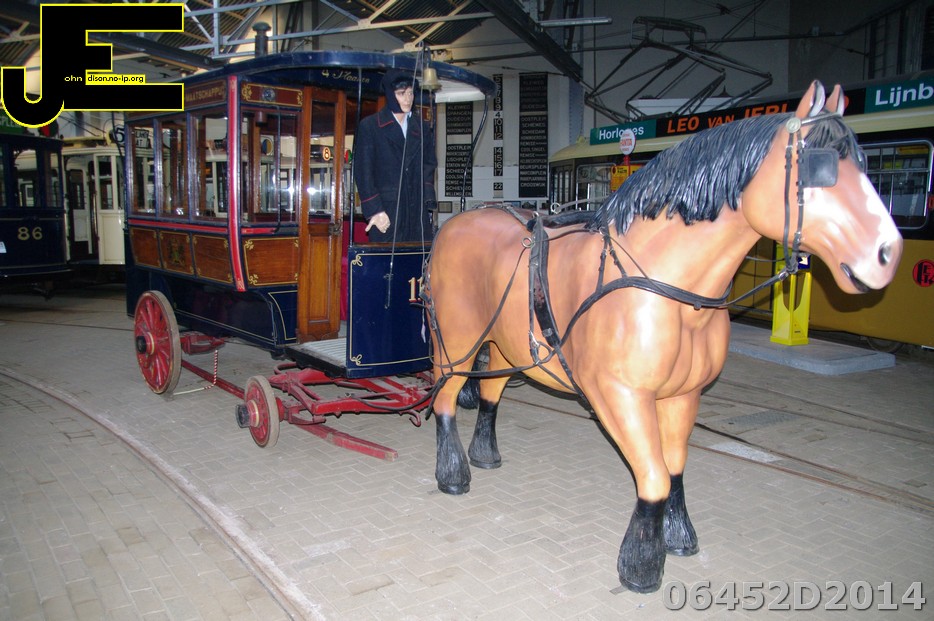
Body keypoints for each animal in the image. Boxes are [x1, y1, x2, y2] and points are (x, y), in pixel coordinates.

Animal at [421, 81, 903, 593]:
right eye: (820, 164)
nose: (887, 253)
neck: (666, 288)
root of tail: (454, 224)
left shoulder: (683, 394)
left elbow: (674, 468)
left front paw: (678, 536)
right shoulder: (620, 395)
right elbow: (652, 476)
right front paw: (641, 564)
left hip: (504, 342)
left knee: (490, 393)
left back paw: (485, 455)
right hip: (458, 341)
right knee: (446, 398)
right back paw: (453, 473)